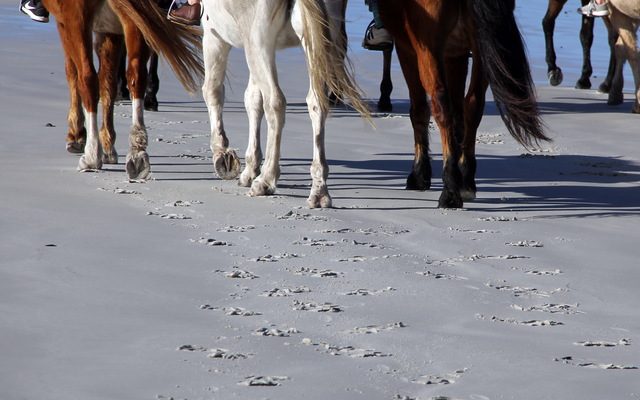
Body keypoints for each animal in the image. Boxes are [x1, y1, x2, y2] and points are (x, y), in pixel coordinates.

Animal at [41, 0, 203, 179]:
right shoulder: (110, 30)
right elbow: (108, 82)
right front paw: (108, 145)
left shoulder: (64, 23)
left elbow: (73, 72)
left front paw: (76, 135)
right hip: (133, 23)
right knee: (137, 74)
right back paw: (137, 153)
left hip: (77, 20)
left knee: (87, 77)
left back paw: (91, 155)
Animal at [200, 0, 369, 208]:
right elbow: (253, 100)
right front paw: (251, 168)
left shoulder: (214, 36)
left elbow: (213, 90)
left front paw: (222, 152)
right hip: (314, 43)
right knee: (316, 103)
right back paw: (319, 189)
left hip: (258, 44)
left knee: (275, 102)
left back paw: (266, 179)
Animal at [379, 0, 551, 209]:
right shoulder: (456, 55)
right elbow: (459, 115)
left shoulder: (407, 49)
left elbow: (419, 110)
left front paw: (420, 174)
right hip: (480, 48)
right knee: (474, 104)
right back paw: (465, 179)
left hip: (429, 50)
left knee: (441, 105)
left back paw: (450, 191)